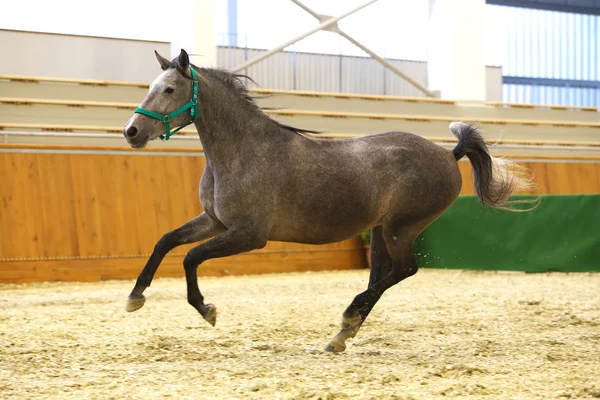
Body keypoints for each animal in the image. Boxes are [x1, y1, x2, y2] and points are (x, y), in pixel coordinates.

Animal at [122, 50, 536, 354]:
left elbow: (190, 257)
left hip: (400, 227)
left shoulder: (248, 235)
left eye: (169, 90)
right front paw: (134, 297)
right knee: (382, 275)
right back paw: (342, 335)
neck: (243, 152)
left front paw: (207, 310)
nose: (132, 131)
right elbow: (166, 242)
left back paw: (348, 319)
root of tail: (449, 155)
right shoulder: (215, 221)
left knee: (404, 270)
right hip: (380, 231)